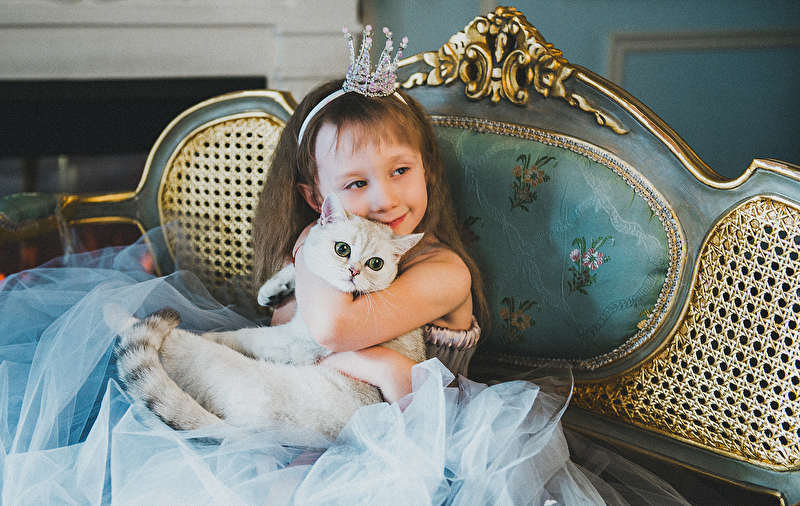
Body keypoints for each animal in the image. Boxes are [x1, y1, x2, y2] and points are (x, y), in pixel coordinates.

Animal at [113, 194, 425, 439]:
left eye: (376, 264)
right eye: (342, 249)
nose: (354, 272)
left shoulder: (297, 339)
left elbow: (247, 336)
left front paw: (221, 334)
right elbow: (300, 265)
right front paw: (273, 289)